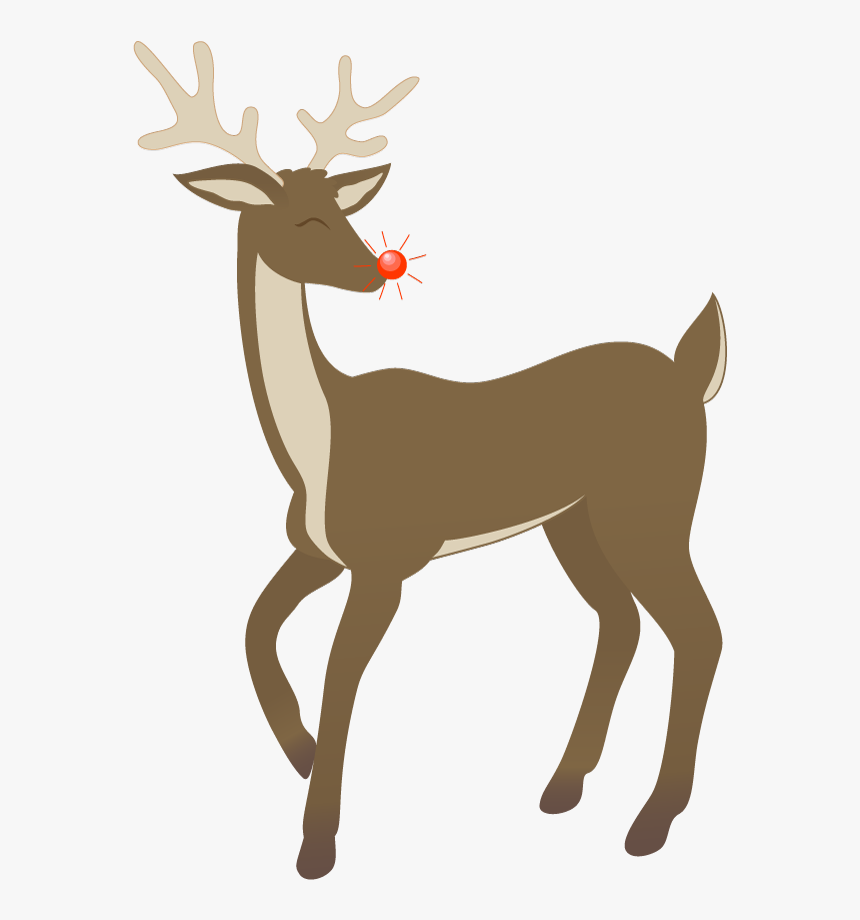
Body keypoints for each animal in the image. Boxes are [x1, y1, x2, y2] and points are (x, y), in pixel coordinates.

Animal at [135, 41, 727, 880]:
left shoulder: (390, 558)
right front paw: (299, 753)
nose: (375, 271)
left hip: (651, 506)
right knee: (621, 622)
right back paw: (563, 786)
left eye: (341, 208)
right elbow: (253, 627)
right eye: (301, 215)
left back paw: (650, 823)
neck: (318, 447)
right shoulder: (318, 548)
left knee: (699, 631)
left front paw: (316, 844)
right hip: (573, 521)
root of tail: (690, 375)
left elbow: (339, 675)